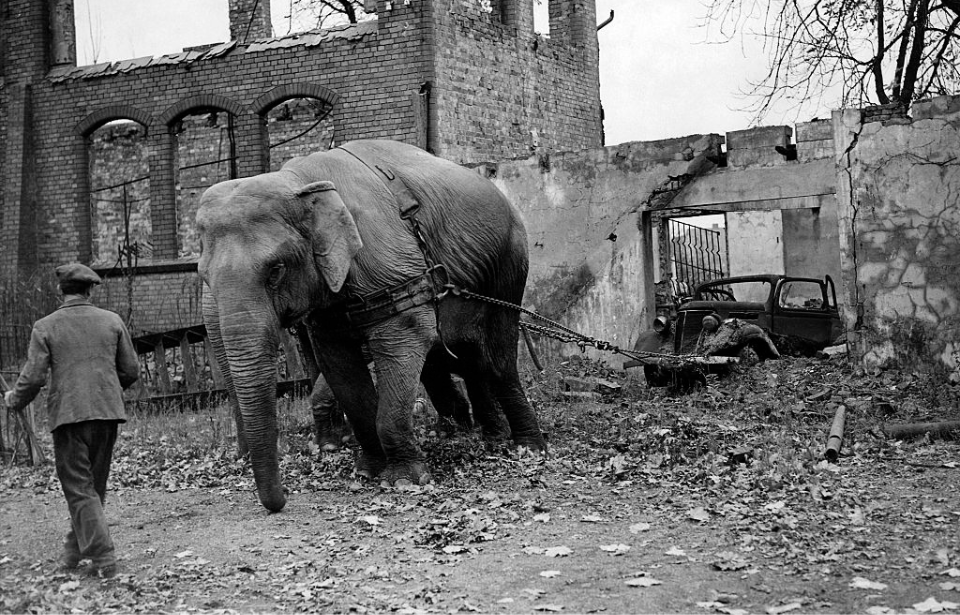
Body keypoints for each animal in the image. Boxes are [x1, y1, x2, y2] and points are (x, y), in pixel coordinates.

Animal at [198, 141, 544, 516]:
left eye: (276, 270)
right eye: (203, 275)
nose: (279, 504)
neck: (299, 180)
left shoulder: (394, 271)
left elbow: (402, 340)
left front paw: (405, 481)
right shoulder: (327, 307)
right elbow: (340, 365)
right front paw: (369, 471)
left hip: (509, 265)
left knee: (497, 358)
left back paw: (527, 448)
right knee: (465, 359)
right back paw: (482, 438)